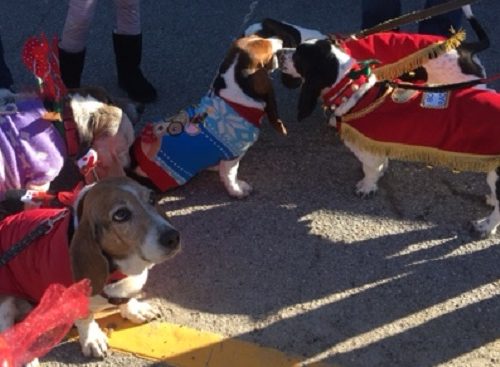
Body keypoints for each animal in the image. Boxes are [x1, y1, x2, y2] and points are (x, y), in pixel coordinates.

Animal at [0, 178, 180, 362]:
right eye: (121, 214)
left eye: (152, 198)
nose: (173, 237)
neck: (117, 272)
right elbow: (85, 319)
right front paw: (92, 340)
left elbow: (126, 300)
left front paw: (135, 310)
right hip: (4, 302)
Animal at [131, 35, 288, 198]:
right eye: (268, 49)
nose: (281, 40)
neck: (234, 95)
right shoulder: (233, 156)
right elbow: (230, 175)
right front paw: (237, 190)